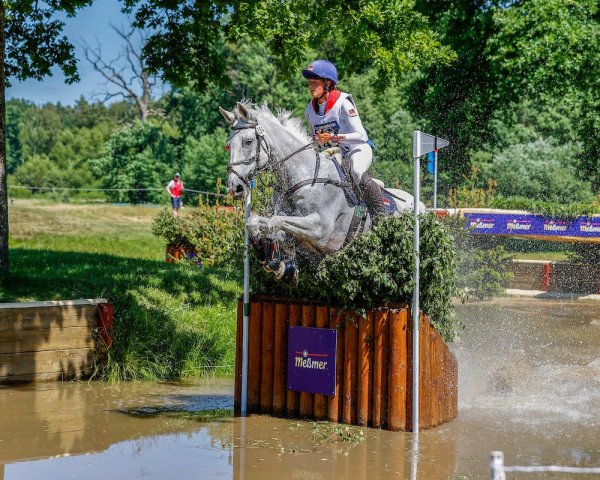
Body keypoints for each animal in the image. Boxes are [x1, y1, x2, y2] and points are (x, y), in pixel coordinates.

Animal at [219, 100, 422, 284]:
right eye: (228, 144)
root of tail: (421, 206)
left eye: (248, 141)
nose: (234, 187)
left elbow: (275, 222)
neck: (304, 176)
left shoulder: (321, 230)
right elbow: (256, 222)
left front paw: (276, 262)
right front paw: (279, 264)